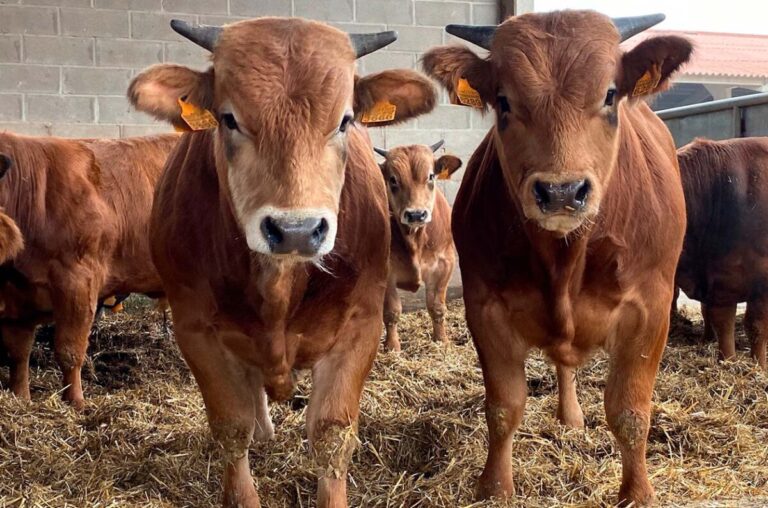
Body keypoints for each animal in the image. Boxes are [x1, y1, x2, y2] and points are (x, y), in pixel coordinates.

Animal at [0, 132, 178, 408]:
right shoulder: (16, 296)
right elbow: (18, 353)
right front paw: (20, 397)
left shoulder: (77, 282)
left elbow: (69, 350)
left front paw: (75, 401)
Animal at [127, 18, 436, 507]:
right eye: (229, 118)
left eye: (345, 120)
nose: (296, 229)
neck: (278, 283)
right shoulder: (195, 329)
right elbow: (231, 427)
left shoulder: (361, 324)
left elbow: (331, 433)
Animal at [374, 140, 461, 351]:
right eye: (393, 179)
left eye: (430, 176)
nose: (416, 214)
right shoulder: (387, 272)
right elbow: (392, 312)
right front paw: (392, 347)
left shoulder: (444, 264)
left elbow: (436, 307)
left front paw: (441, 341)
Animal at [422, 10, 692, 505]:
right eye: (504, 102)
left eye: (610, 95)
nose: (562, 191)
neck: (565, 259)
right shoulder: (485, 308)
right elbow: (503, 407)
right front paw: (494, 488)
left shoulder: (651, 310)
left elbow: (629, 412)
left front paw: (638, 492)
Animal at [675, 137, 768, 369]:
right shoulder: (721, 281)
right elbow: (722, 323)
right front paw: (727, 361)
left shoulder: (762, 281)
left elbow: (756, 326)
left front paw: (759, 367)